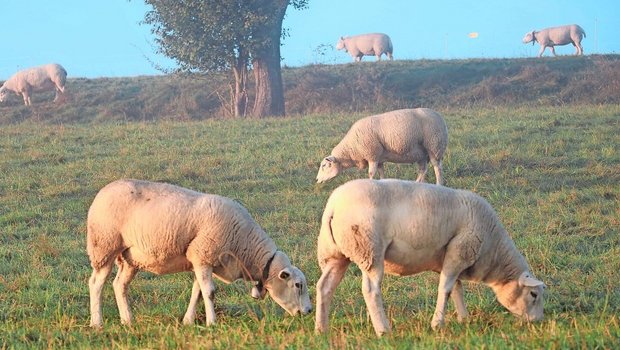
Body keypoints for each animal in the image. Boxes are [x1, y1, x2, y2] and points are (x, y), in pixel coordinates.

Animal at [86, 179, 314, 330]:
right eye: (297, 285)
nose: (310, 311)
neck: (244, 243)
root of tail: (102, 191)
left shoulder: (202, 259)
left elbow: (197, 291)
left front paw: (188, 321)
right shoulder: (203, 254)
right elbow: (209, 292)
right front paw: (212, 322)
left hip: (130, 258)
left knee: (119, 285)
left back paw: (127, 320)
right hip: (104, 245)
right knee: (96, 283)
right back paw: (97, 323)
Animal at [318, 108, 448, 186]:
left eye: (324, 166)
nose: (317, 180)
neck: (351, 150)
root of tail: (440, 117)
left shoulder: (372, 155)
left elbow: (371, 173)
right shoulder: (379, 158)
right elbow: (381, 172)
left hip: (435, 146)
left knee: (437, 168)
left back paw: (438, 184)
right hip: (421, 153)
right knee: (423, 170)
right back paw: (417, 184)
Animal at [318, 180, 544, 336]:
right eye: (533, 295)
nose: (539, 322)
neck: (493, 249)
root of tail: (333, 206)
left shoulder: (450, 257)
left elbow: (456, 288)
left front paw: (464, 319)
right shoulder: (460, 250)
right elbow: (445, 289)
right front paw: (437, 324)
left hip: (335, 254)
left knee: (324, 286)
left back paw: (321, 329)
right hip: (369, 250)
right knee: (371, 290)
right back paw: (383, 330)